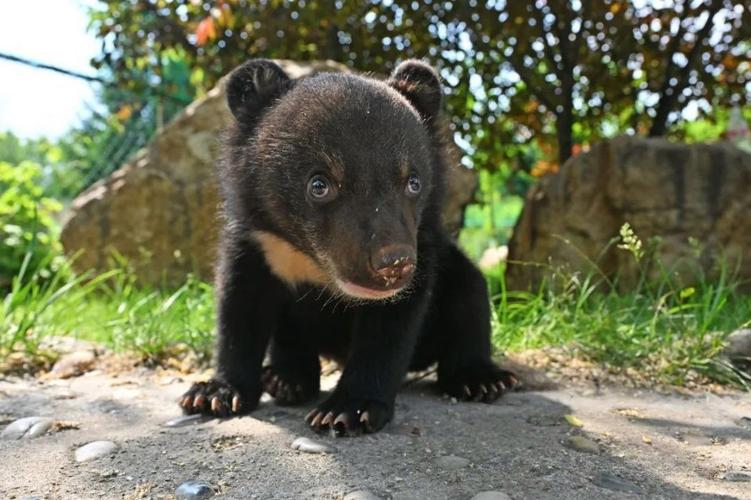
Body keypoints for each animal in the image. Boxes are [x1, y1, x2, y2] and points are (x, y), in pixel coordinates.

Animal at [179, 59, 517, 436]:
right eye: (319, 185)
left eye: (413, 182)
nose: (394, 263)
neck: (310, 258)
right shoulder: (258, 241)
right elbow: (240, 307)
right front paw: (214, 393)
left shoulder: (423, 243)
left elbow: (389, 328)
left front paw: (348, 411)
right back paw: (285, 379)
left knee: (470, 293)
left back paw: (479, 379)